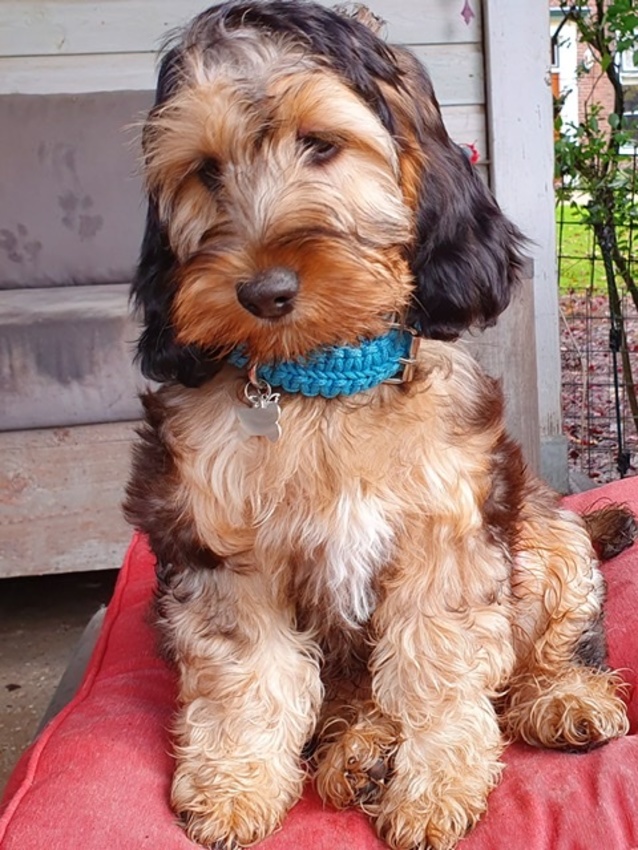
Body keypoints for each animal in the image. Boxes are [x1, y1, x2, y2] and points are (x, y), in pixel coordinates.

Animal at [124, 3, 635, 848]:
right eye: (205, 171)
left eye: (321, 145)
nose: (263, 291)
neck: (321, 382)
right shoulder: (219, 547)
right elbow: (249, 673)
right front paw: (235, 785)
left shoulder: (449, 535)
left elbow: (437, 667)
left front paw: (434, 790)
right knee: (349, 695)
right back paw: (357, 751)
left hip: (543, 530)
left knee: (549, 646)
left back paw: (561, 699)